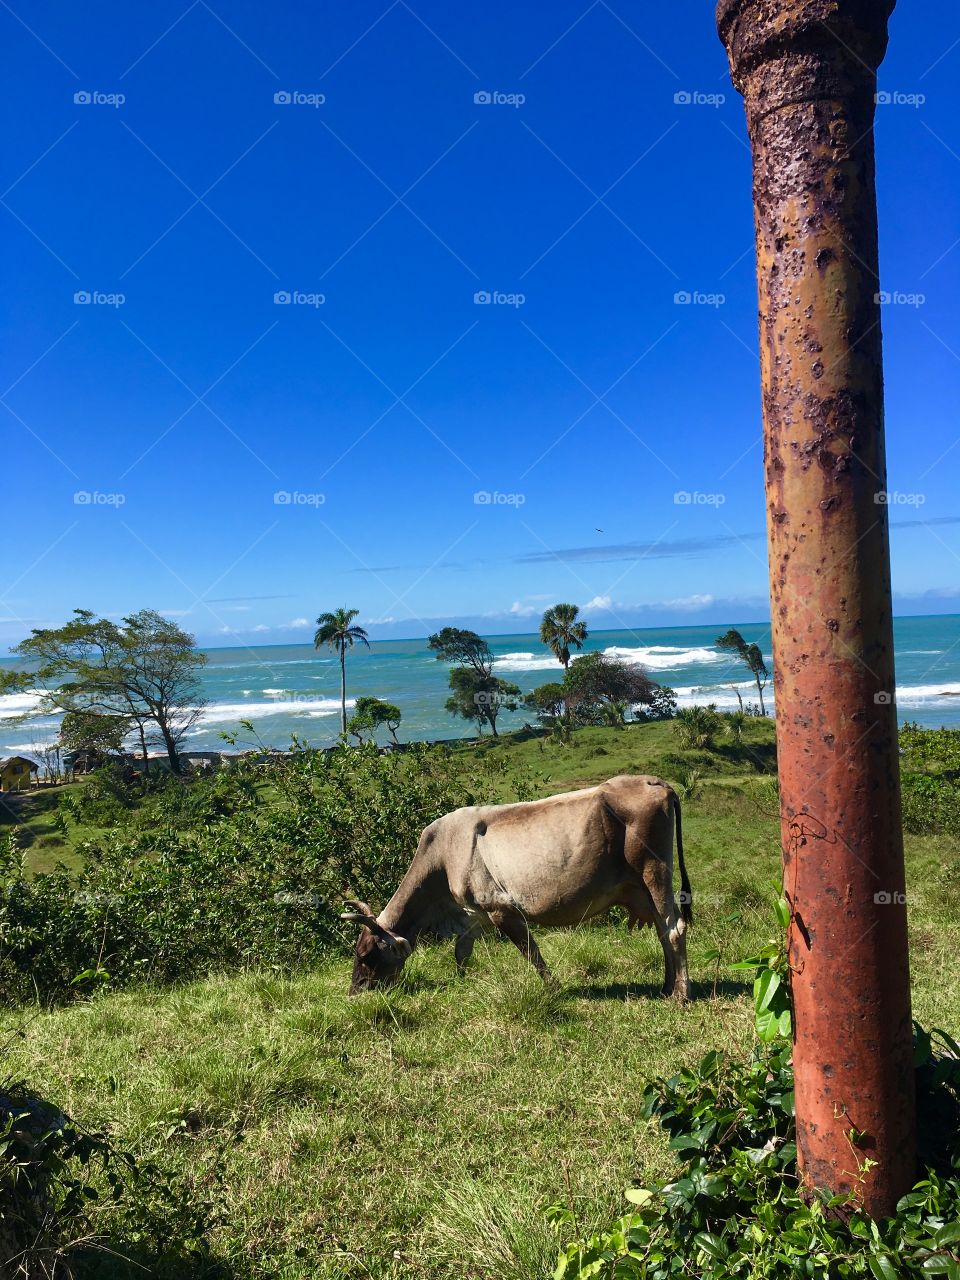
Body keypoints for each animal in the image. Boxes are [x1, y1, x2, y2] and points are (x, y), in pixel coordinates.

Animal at [344, 774, 691, 999]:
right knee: (662, 929)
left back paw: (681, 994)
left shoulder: (501, 909)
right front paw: (462, 981)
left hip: (655, 871)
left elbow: (531, 952)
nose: (354, 992)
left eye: (366, 955)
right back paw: (666, 987)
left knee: (674, 928)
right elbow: (461, 951)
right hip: (644, 887)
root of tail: (655, 782)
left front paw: (554, 989)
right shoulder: (475, 914)